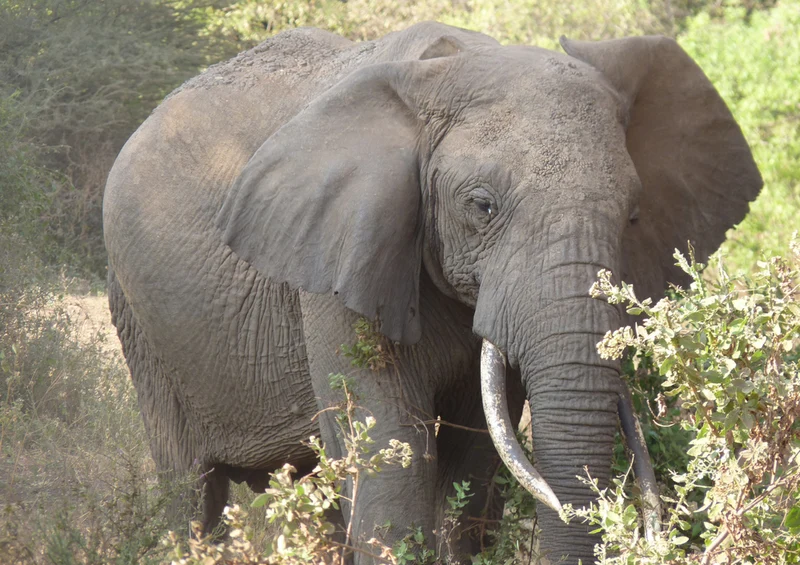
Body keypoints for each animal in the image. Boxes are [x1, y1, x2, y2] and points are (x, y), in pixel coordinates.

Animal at [103, 21, 762, 564]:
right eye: (482, 206)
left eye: (633, 216)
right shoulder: (342, 254)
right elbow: (389, 450)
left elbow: (478, 446)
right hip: (139, 322)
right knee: (191, 493)